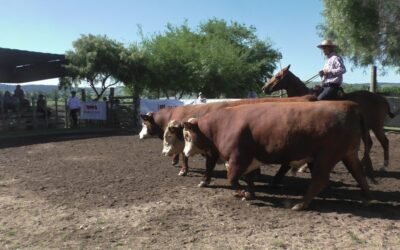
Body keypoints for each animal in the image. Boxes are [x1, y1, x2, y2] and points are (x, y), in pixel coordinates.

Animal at [183, 100, 374, 210]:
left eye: (187, 136)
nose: (184, 152)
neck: (222, 124)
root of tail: (352, 106)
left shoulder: (238, 157)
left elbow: (232, 178)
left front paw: (243, 193)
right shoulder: (249, 161)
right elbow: (248, 178)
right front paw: (249, 193)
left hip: (325, 156)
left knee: (320, 179)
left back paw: (300, 204)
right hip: (348, 154)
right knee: (358, 173)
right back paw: (367, 198)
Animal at [260, 64, 396, 170]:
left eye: (278, 76)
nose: (264, 88)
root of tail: (382, 99)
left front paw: (303, 167)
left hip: (376, 126)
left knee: (385, 142)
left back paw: (384, 166)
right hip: (366, 128)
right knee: (370, 143)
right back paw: (363, 165)